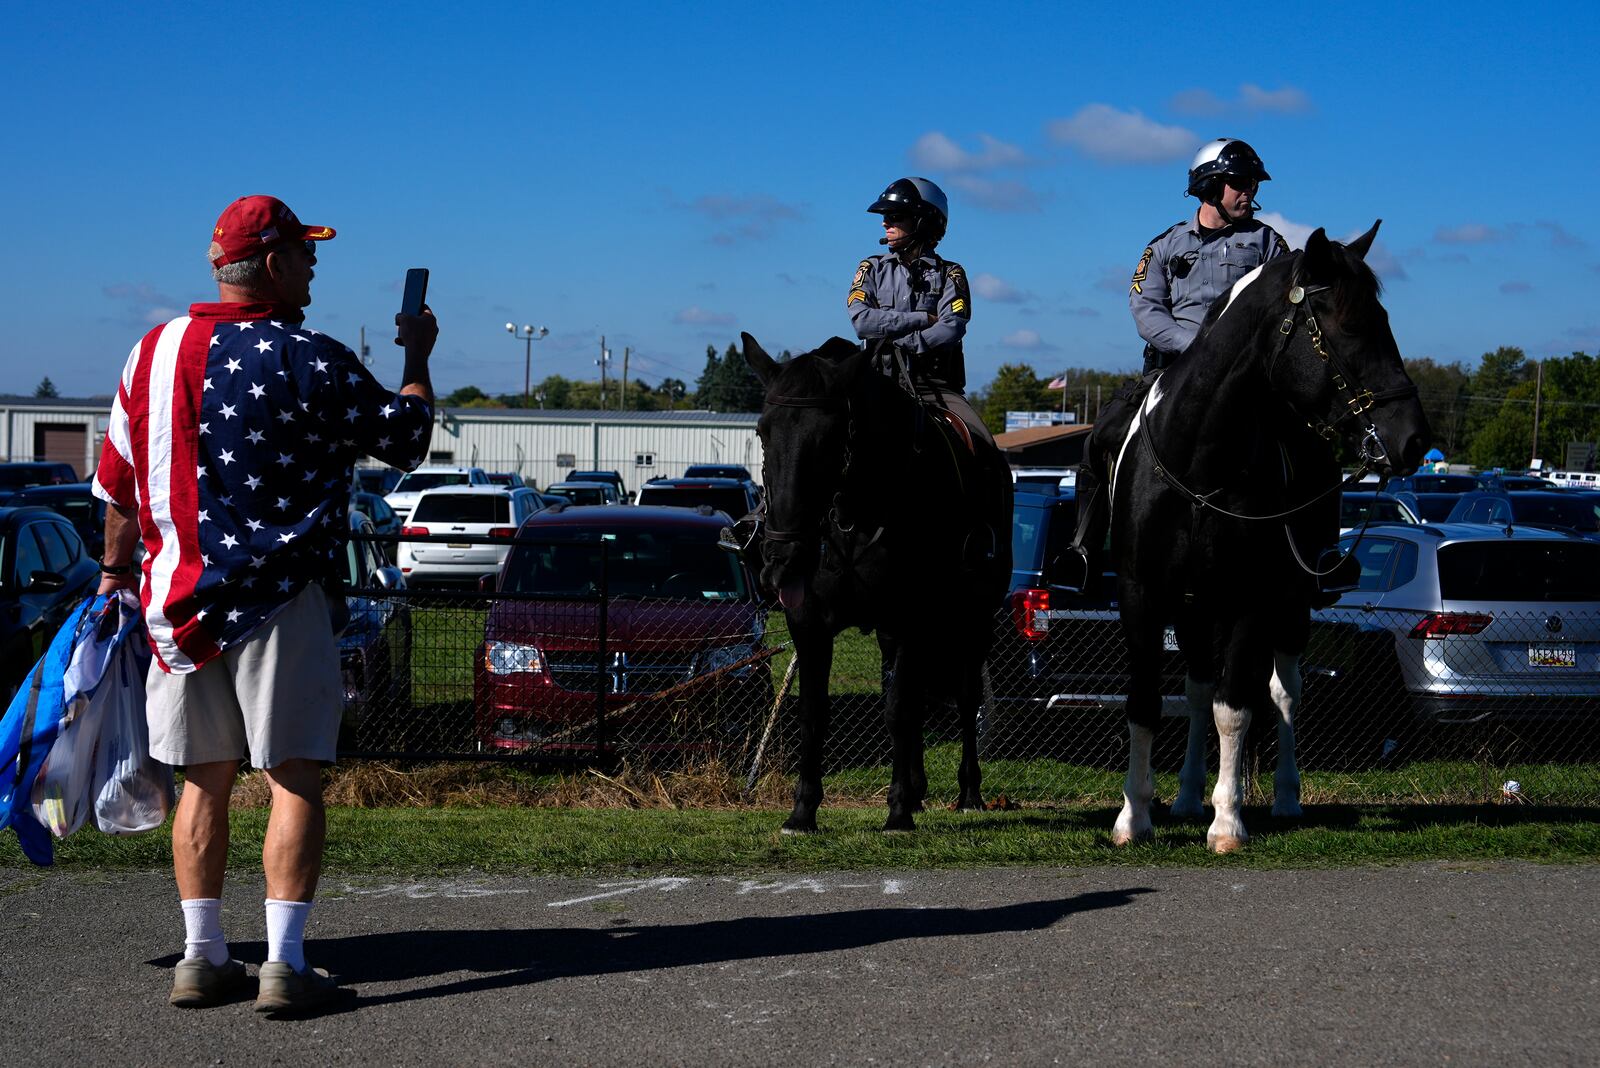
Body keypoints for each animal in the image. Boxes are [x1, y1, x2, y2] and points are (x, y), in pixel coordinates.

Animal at [742, 334, 1004, 831]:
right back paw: (919, 790)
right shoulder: (810, 624)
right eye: (763, 432)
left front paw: (897, 812)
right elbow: (814, 712)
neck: (853, 518)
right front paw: (802, 811)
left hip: (973, 620)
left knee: (964, 697)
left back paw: (968, 792)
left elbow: (900, 710)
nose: (782, 561)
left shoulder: (914, 619)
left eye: (830, 436)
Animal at [1107, 223, 1433, 850]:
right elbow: (1147, 703)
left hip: (1291, 605)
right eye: (1351, 325)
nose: (1413, 441)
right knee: (1198, 690)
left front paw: (1228, 821)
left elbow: (1237, 708)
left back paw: (1284, 798)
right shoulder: (1142, 595)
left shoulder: (1250, 599)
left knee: (1284, 693)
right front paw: (1134, 817)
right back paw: (1185, 797)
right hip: (1195, 610)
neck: (1198, 461)